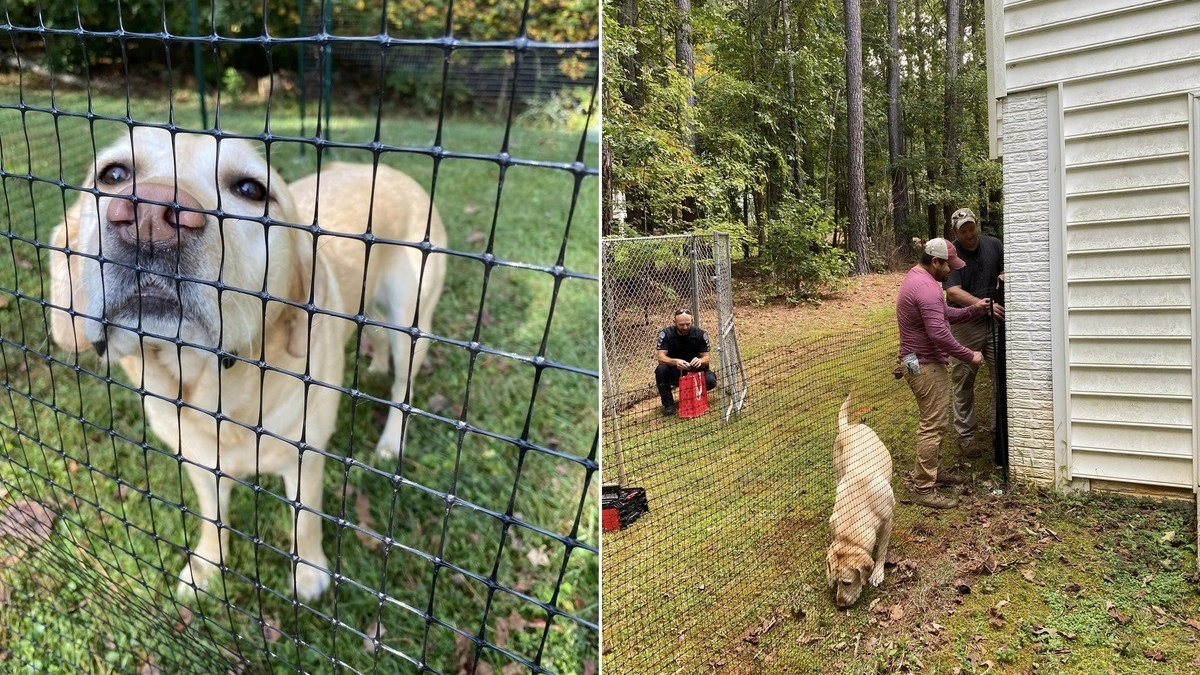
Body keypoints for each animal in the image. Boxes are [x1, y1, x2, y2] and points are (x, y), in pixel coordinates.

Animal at [46, 127, 448, 598]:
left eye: (250, 190)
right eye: (112, 175)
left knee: (404, 387)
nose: (148, 216)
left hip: (411, 323)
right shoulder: (200, 463)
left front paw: (308, 574)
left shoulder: (305, 461)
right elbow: (212, 518)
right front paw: (205, 568)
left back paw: (389, 442)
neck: (218, 398)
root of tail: (392, 170)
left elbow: (304, 524)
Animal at [830, 386, 897, 607]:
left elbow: (882, 549)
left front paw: (877, 573)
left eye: (847, 582)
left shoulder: (888, 521)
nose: (840, 605)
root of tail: (849, 427)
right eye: (834, 582)